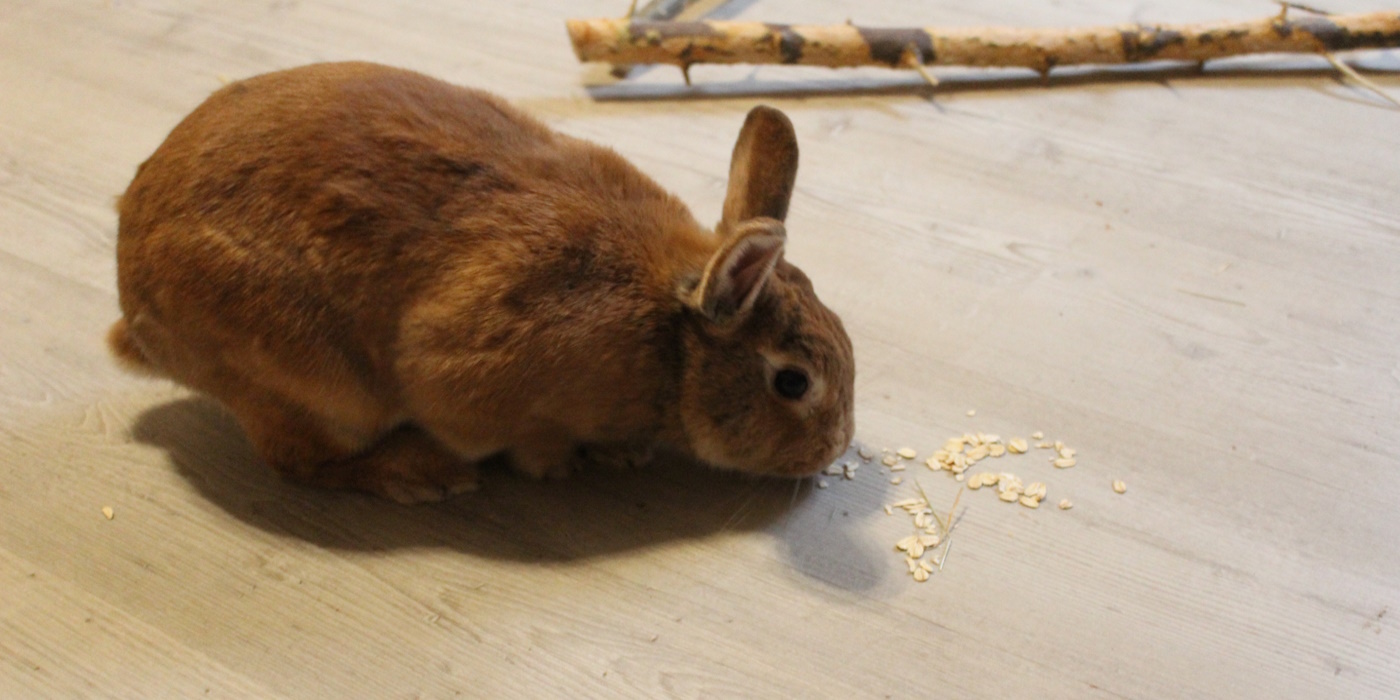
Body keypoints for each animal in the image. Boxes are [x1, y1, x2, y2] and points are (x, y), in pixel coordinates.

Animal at [108, 61, 854, 504]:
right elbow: (517, 434)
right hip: (318, 389)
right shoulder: (479, 382)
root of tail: (133, 308)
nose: (835, 447)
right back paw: (422, 475)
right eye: (792, 383)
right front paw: (567, 465)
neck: (674, 341)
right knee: (301, 463)